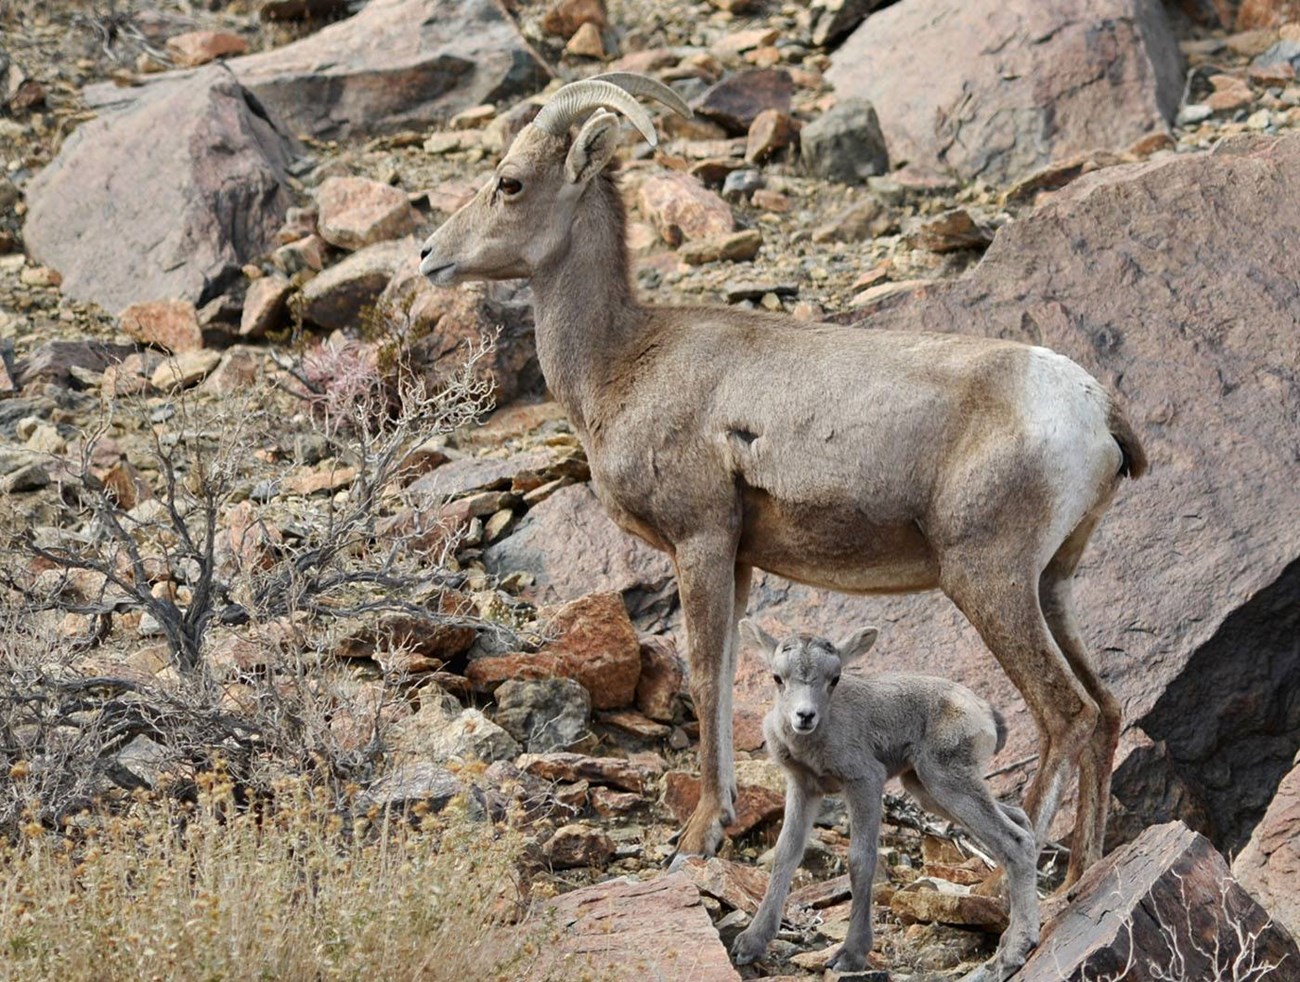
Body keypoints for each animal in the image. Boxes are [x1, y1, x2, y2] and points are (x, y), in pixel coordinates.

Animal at [418, 69, 1149, 884]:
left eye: (509, 182)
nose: (428, 255)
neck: (621, 362)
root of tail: (1094, 407)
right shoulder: (736, 561)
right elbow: (730, 675)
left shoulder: (701, 542)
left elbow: (706, 679)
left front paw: (699, 835)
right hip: (1053, 583)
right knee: (1106, 709)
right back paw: (1084, 876)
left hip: (988, 581)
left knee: (1066, 714)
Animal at [738, 621, 1040, 982]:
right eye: (777, 677)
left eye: (834, 678)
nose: (805, 716)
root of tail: (987, 715)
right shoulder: (803, 787)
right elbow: (786, 853)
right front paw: (750, 944)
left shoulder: (865, 780)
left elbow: (861, 859)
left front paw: (850, 955)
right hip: (926, 788)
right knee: (1019, 820)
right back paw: (1012, 936)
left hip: (947, 780)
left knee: (1015, 841)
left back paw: (1010, 955)